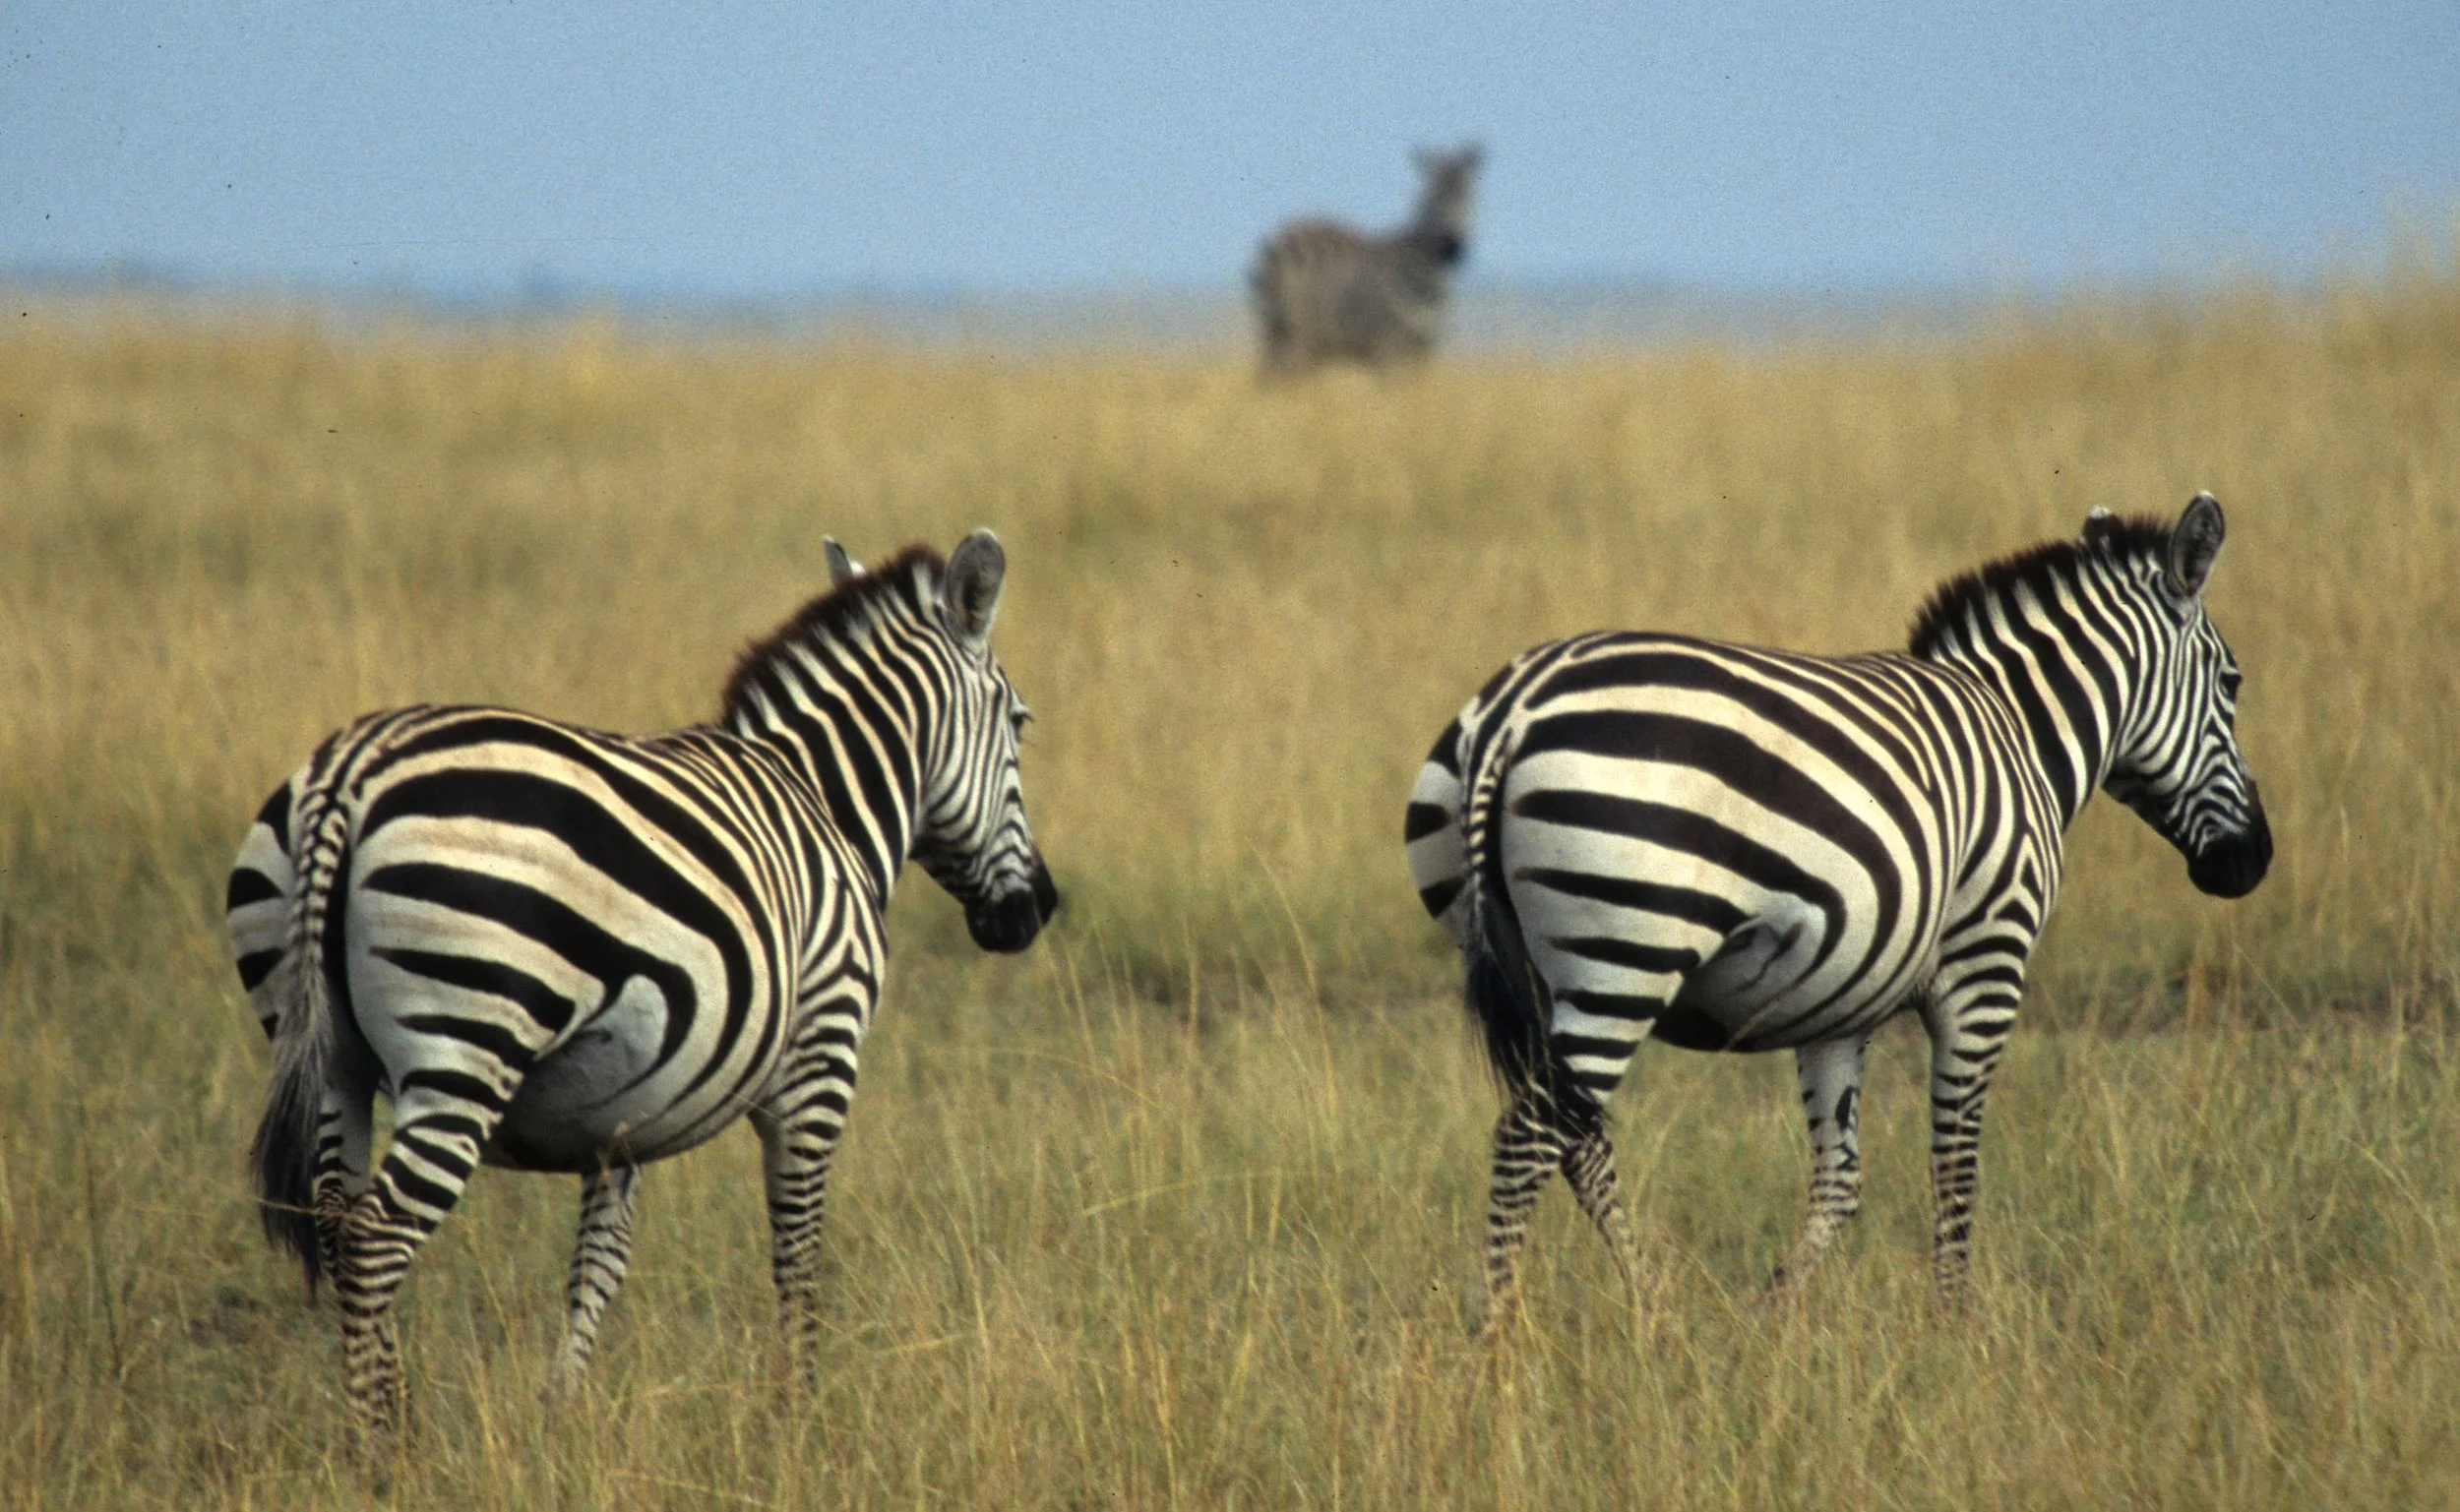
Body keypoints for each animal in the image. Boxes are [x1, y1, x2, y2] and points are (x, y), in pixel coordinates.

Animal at [227, 530, 1058, 1445]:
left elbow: (600, 1260)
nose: (1037, 910)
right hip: (466, 1046)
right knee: (377, 1237)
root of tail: (348, 778)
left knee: (339, 1223)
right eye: (1021, 724)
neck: (825, 800)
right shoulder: (821, 1059)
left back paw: (382, 1421)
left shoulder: (619, 1107)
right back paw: (384, 1447)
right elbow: (797, 1249)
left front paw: (561, 1409)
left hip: (324, 1051)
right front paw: (798, 1416)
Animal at [1251, 144, 1482, 374]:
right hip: (1291, 331)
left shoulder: (1422, 348)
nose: (1452, 248)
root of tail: (1279, 237)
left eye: (1470, 198)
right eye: (1431, 198)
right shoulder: (1387, 345)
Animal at [1404, 495, 2270, 1327]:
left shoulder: (1839, 1002)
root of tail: (1511, 713)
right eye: (2232, 682)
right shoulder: (1987, 965)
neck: (2020, 731)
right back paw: (1502, 1337)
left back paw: (1655, 1313)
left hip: (1536, 967)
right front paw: (1954, 1324)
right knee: (1530, 1139)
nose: (2253, 861)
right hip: (1623, 963)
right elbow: (1955, 1154)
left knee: (1577, 1141)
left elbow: (1841, 1177)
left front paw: (1771, 1314)